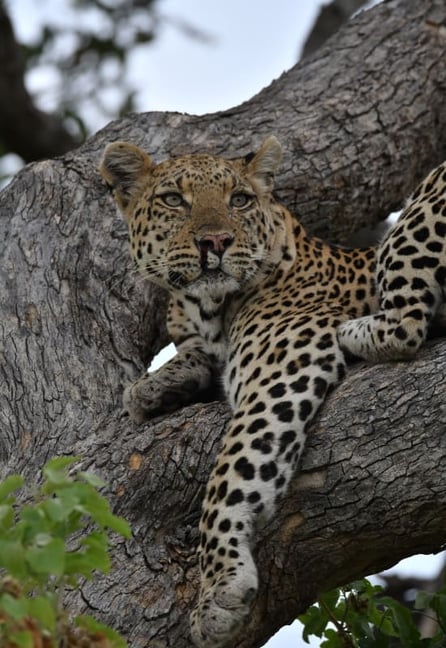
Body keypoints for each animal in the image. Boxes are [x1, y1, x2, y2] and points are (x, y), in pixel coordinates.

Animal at [99, 138, 444, 648]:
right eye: (173, 200)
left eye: (239, 199)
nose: (215, 243)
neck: (207, 310)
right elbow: (193, 361)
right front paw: (152, 389)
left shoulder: (284, 367)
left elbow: (229, 477)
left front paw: (219, 587)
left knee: (406, 322)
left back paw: (357, 331)